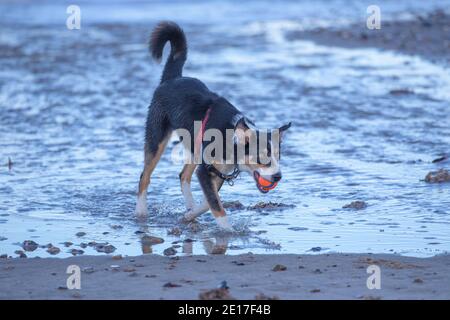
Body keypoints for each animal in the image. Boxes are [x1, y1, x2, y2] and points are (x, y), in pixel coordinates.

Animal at [135, 20, 290, 230]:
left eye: (278, 156)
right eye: (262, 158)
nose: (278, 176)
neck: (230, 138)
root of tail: (172, 78)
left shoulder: (217, 173)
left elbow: (209, 201)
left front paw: (190, 215)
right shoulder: (205, 170)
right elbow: (215, 204)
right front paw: (228, 231)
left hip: (194, 146)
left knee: (183, 176)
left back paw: (189, 208)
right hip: (156, 139)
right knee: (145, 176)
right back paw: (141, 212)